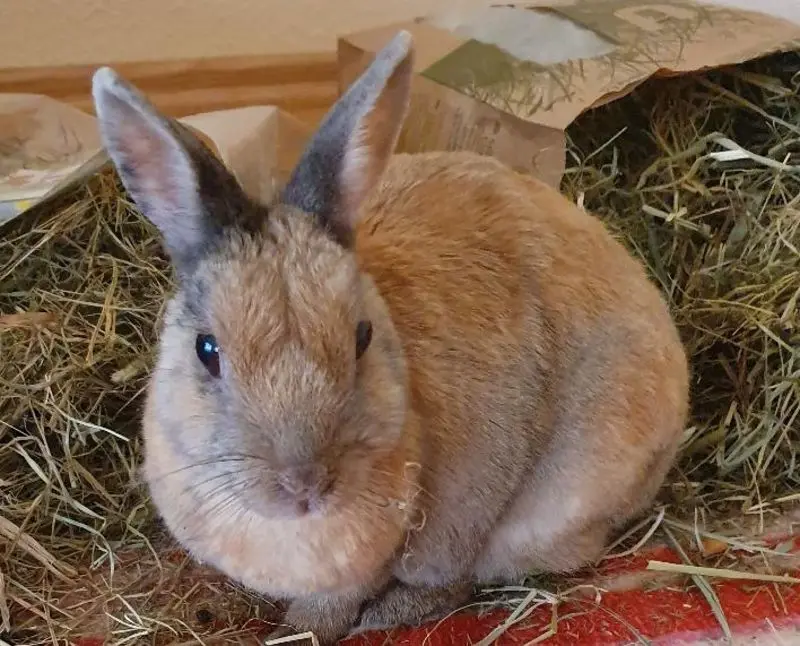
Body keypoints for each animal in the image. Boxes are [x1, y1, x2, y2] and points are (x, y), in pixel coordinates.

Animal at [91, 29, 689, 645]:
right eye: (206, 350)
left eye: (362, 337)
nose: (305, 484)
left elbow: (340, 603)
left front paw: (305, 630)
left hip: (540, 513)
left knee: (467, 577)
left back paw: (387, 616)